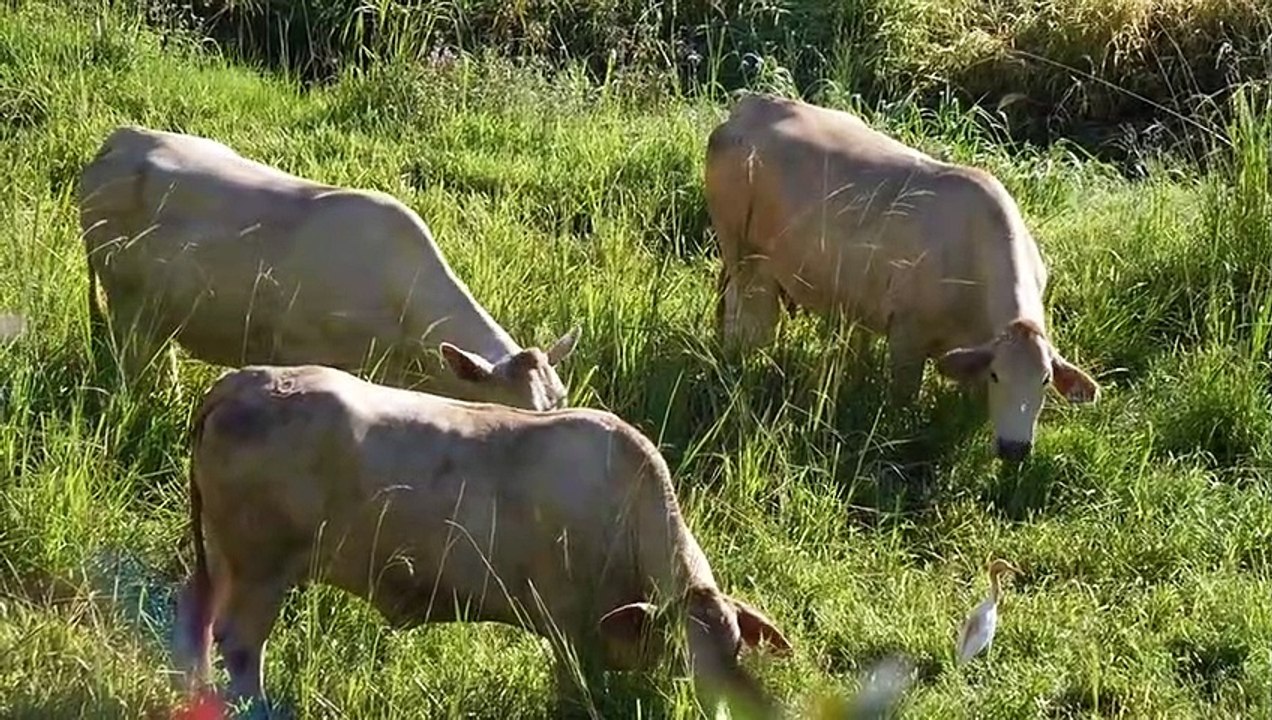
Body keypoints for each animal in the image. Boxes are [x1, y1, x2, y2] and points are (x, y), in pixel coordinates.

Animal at [174, 365, 793, 715]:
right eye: (686, 660)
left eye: (736, 650)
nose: (717, 708)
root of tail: (244, 380)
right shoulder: (569, 629)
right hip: (260, 567)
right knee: (239, 642)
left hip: (223, 558)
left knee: (197, 616)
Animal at [705, 94, 1100, 461]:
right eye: (997, 375)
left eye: (1045, 380)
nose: (1014, 448)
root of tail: (754, 105)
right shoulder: (908, 334)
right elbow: (904, 397)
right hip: (743, 255)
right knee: (747, 323)